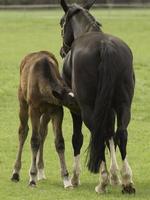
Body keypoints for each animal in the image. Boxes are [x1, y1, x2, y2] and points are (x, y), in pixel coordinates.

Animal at [11, 50, 77, 188]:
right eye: (71, 103)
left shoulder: (57, 110)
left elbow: (59, 142)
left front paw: (66, 179)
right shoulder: (34, 110)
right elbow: (34, 141)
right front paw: (32, 178)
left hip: (46, 114)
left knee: (42, 133)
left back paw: (40, 171)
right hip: (23, 102)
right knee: (23, 131)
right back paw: (16, 173)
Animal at [60, 0, 136, 194]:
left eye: (61, 22)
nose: (63, 50)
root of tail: (105, 46)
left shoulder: (75, 108)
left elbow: (78, 138)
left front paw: (75, 178)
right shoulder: (109, 107)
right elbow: (110, 135)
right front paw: (115, 176)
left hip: (88, 108)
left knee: (98, 133)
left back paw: (102, 182)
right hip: (123, 104)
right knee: (121, 133)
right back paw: (127, 181)